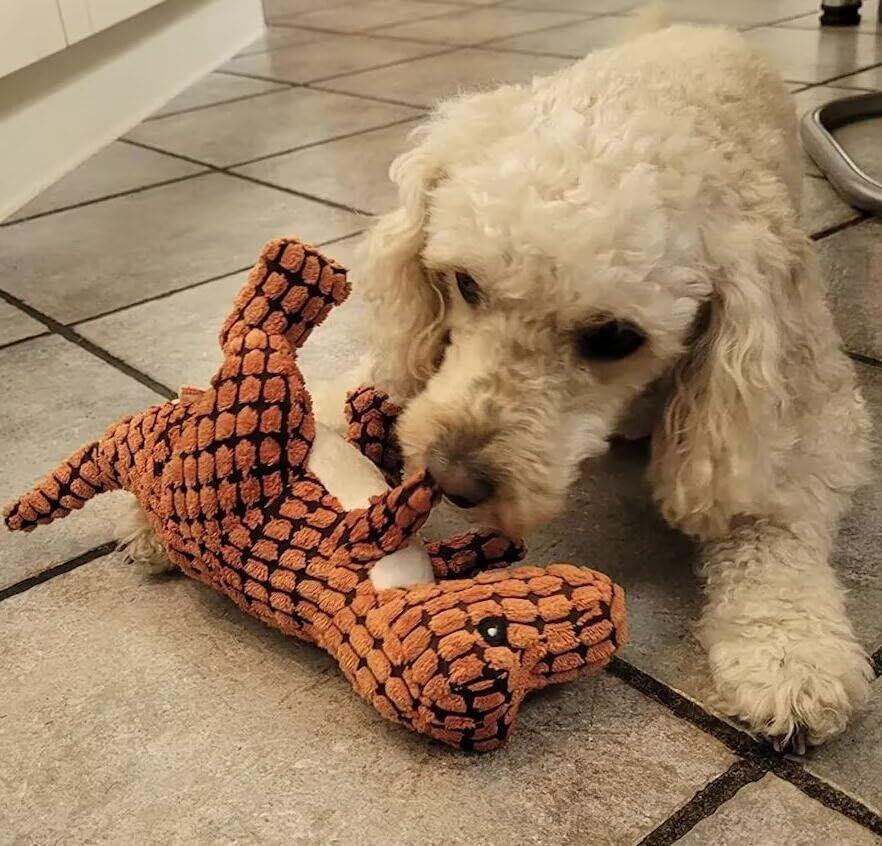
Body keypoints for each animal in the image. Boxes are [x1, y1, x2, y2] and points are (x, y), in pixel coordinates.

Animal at [357, 21, 875, 750]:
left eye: (614, 338)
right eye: (464, 283)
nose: (451, 480)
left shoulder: (799, 408)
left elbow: (771, 520)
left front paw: (788, 647)